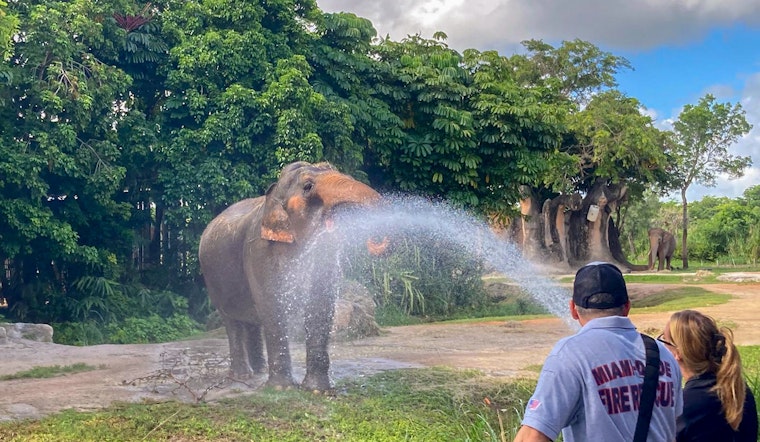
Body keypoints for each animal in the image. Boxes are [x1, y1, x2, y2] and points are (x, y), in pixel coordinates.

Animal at [198, 161, 386, 391]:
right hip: (213, 279)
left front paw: (317, 390)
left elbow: (320, 305)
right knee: (232, 322)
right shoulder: (259, 250)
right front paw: (283, 388)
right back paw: (242, 377)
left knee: (252, 321)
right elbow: (272, 304)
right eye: (307, 187)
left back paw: (259, 372)